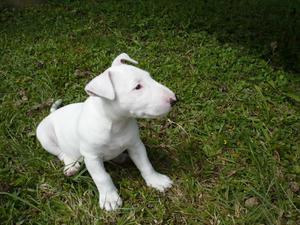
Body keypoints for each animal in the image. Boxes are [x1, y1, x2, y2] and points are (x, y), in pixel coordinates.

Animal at [35, 53, 176, 211]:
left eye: (150, 77)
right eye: (137, 87)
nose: (174, 99)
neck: (115, 123)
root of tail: (53, 113)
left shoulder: (135, 145)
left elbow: (145, 164)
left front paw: (156, 180)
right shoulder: (92, 157)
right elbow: (102, 177)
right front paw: (109, 199)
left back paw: (120, 157)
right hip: (45, 136)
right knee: (61, 153)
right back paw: (71, 166)